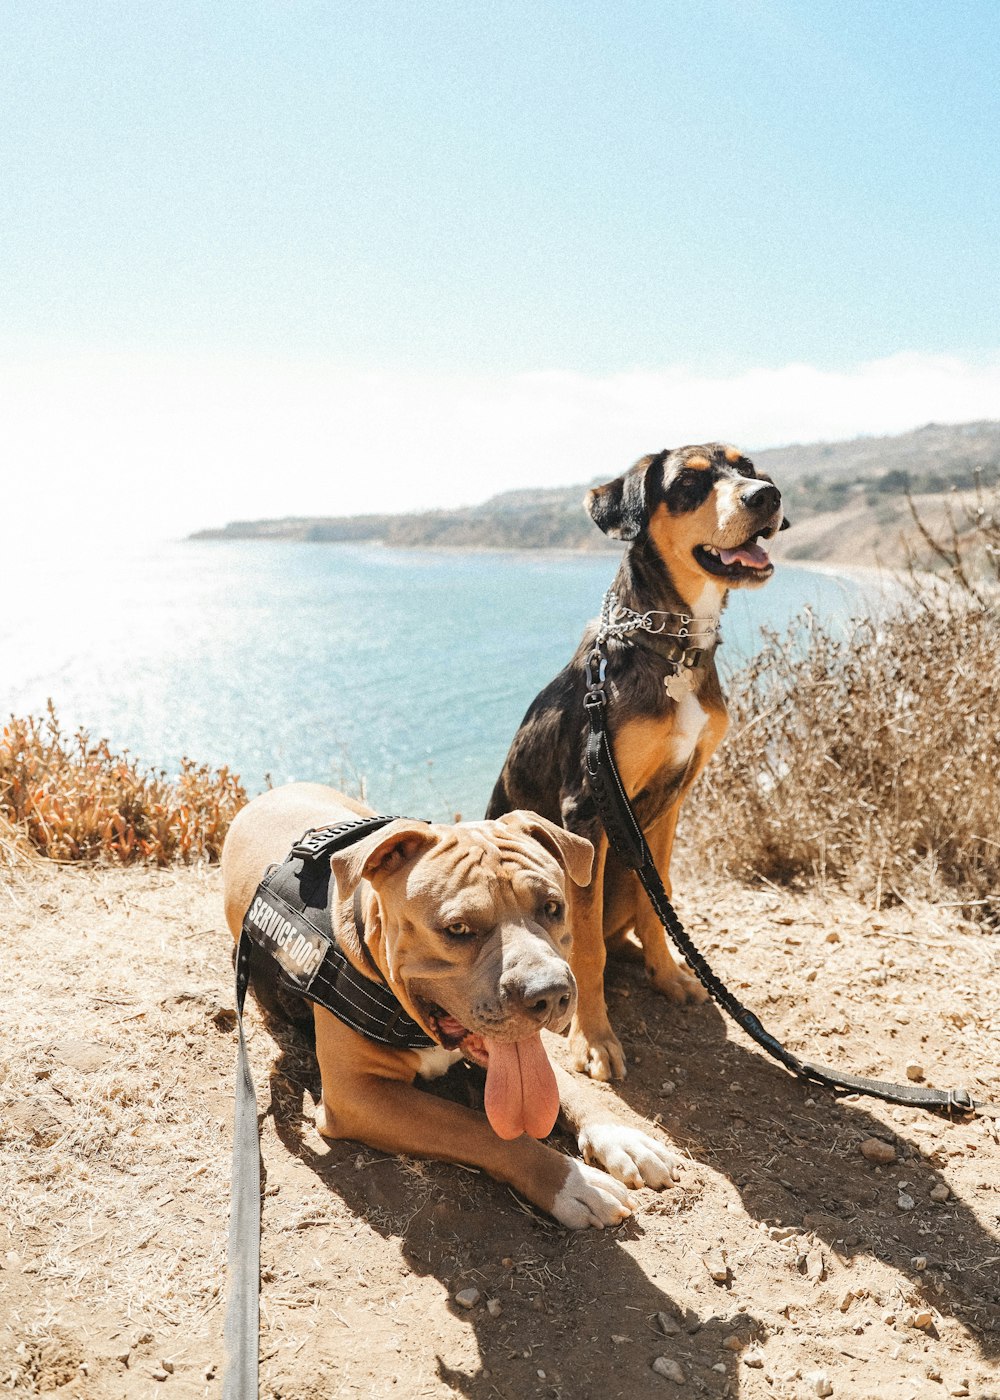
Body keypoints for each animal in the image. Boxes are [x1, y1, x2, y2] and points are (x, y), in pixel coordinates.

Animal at [222, 784, 677, 1232]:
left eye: (552, 907)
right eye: (458, 929)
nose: (549, 994)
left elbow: (569, 1088)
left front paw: (622, 1137)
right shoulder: (357, 1093)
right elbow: (478, 1127)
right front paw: (572, 1182)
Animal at [487, 442, 784, 1075]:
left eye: (749, 468)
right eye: (689, 484)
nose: (766, 497)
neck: (674, 648)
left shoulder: (672, 803)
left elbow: (661, 900)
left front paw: (668, 975)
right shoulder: (588, 806)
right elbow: (586, 948)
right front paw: (594, 1039)